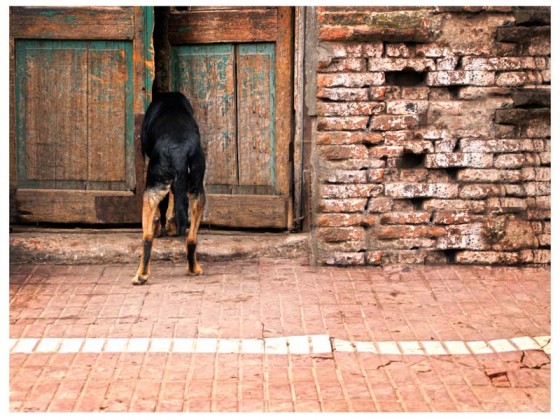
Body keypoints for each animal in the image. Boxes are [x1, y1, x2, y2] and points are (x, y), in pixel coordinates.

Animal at [132, 90, 207, 284]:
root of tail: (180, 149)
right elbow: (174, 198)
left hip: (152, 189)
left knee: (147, 238)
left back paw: (141, 275)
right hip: (198, 192)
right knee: (191, 239)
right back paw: (193, 269)